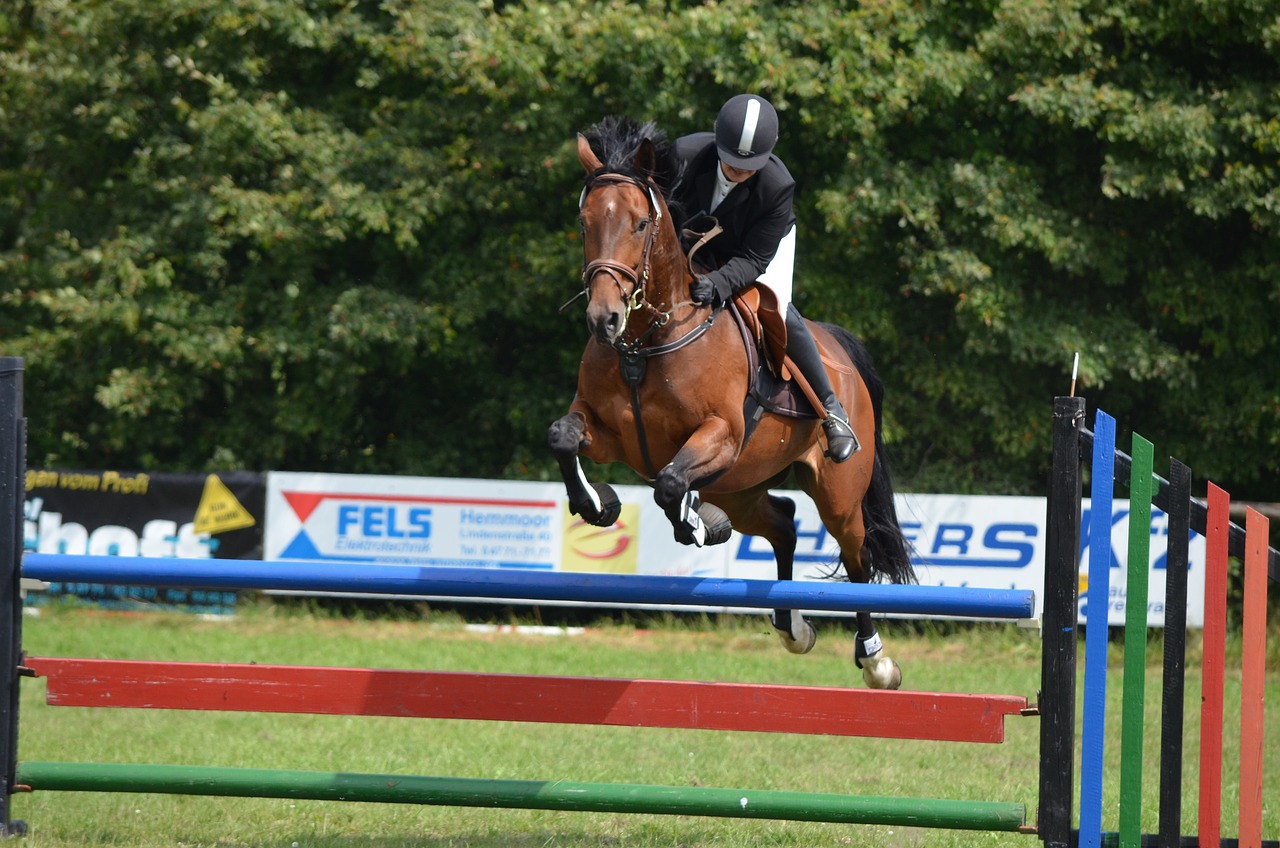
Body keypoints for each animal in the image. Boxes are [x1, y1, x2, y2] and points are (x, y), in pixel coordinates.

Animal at [545, 117, 916, 691]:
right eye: (584, 224)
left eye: (639, 225)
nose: (604, 320)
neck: (647, 339)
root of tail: (840, 354)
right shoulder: (609, 434)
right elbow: (564, 437)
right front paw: (597, 504)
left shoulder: (719, 435)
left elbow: (671, 483)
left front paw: (697, 525)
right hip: (743, 487)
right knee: (783, 523)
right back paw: (792, 627)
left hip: (836, 494)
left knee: (855, 558)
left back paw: (875, 658)